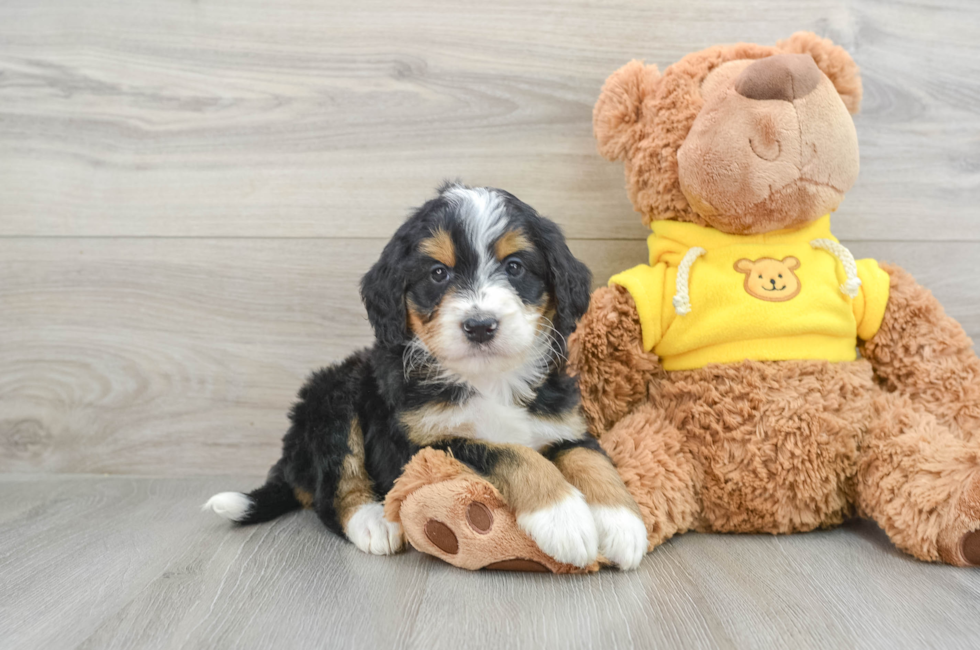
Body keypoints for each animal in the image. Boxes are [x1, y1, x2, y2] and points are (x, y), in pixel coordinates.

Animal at [205, 182, 652, 568]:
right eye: (438, 273)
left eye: (515, 266)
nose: (480, 326)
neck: (488, 379)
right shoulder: (422, 444)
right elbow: (508, 452)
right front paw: (564, 519)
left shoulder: (562, 422)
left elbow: (589, 457)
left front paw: (623, 524)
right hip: (335, 396)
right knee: (332, 489)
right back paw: (374, 522)